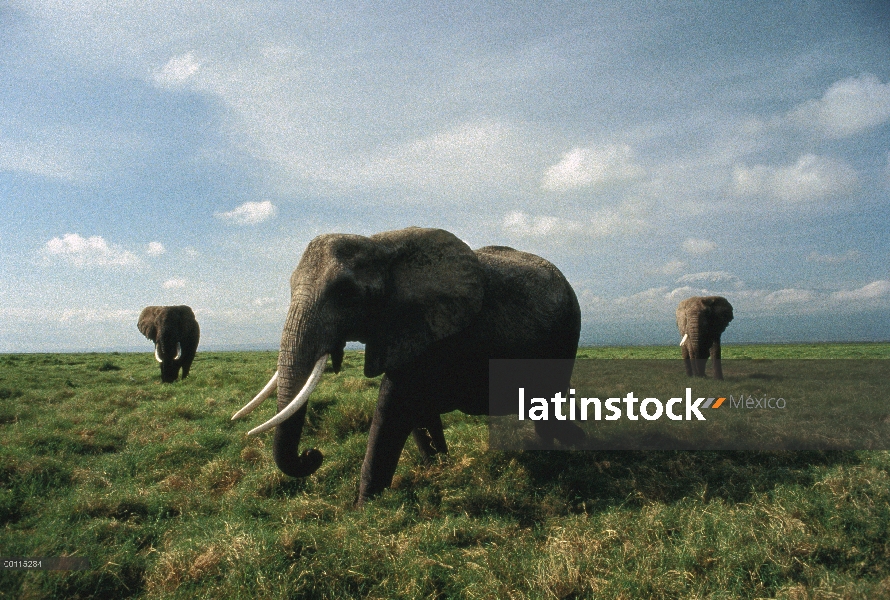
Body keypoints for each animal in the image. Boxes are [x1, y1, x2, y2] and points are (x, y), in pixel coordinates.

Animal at [232, 227, 588, 504]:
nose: (312, 455)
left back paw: (563, 450)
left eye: (346, 294)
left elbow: (394, 407)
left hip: (566, 333)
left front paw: (364, 509)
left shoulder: (432, 331)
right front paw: (439, 469)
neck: (379, 246)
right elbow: (415, 410)